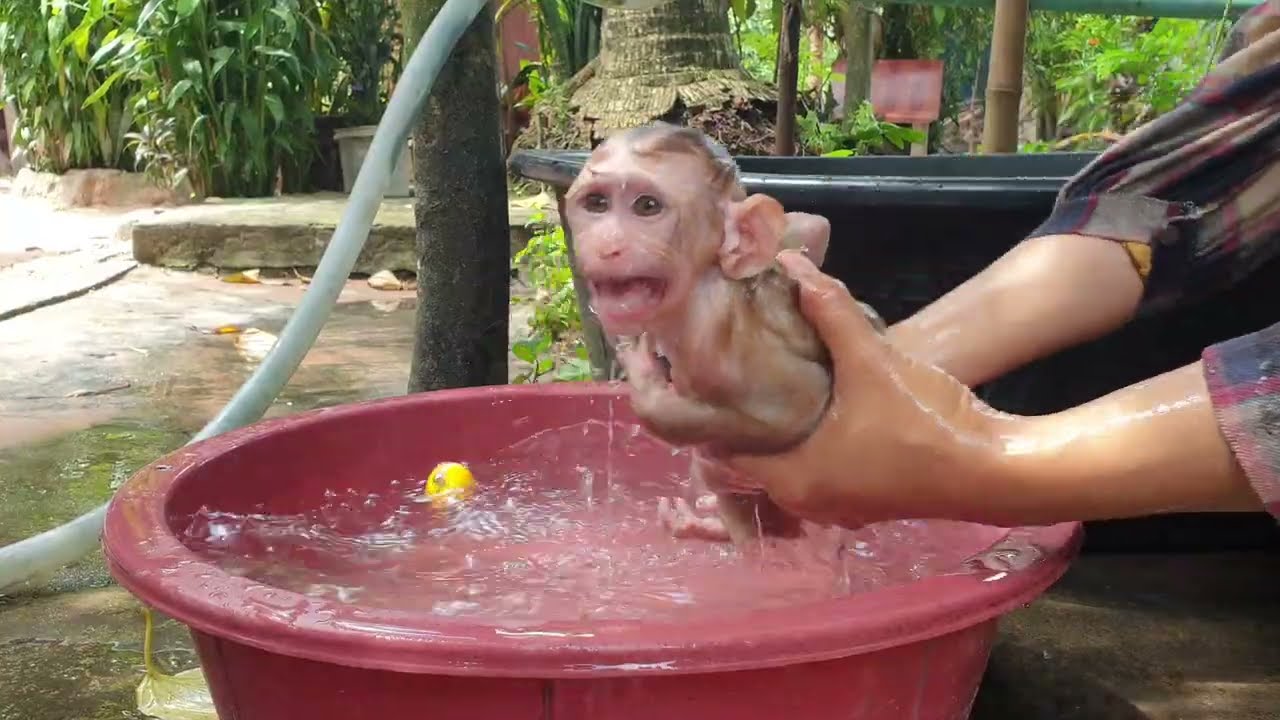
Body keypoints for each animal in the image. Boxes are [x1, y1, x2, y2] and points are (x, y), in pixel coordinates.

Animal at [562, 123, 886, 545]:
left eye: (647, 206)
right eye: (597, 203)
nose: (606, 245)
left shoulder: (709, 333)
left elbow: (798, 403)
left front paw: (646, 386)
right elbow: (810, 227)